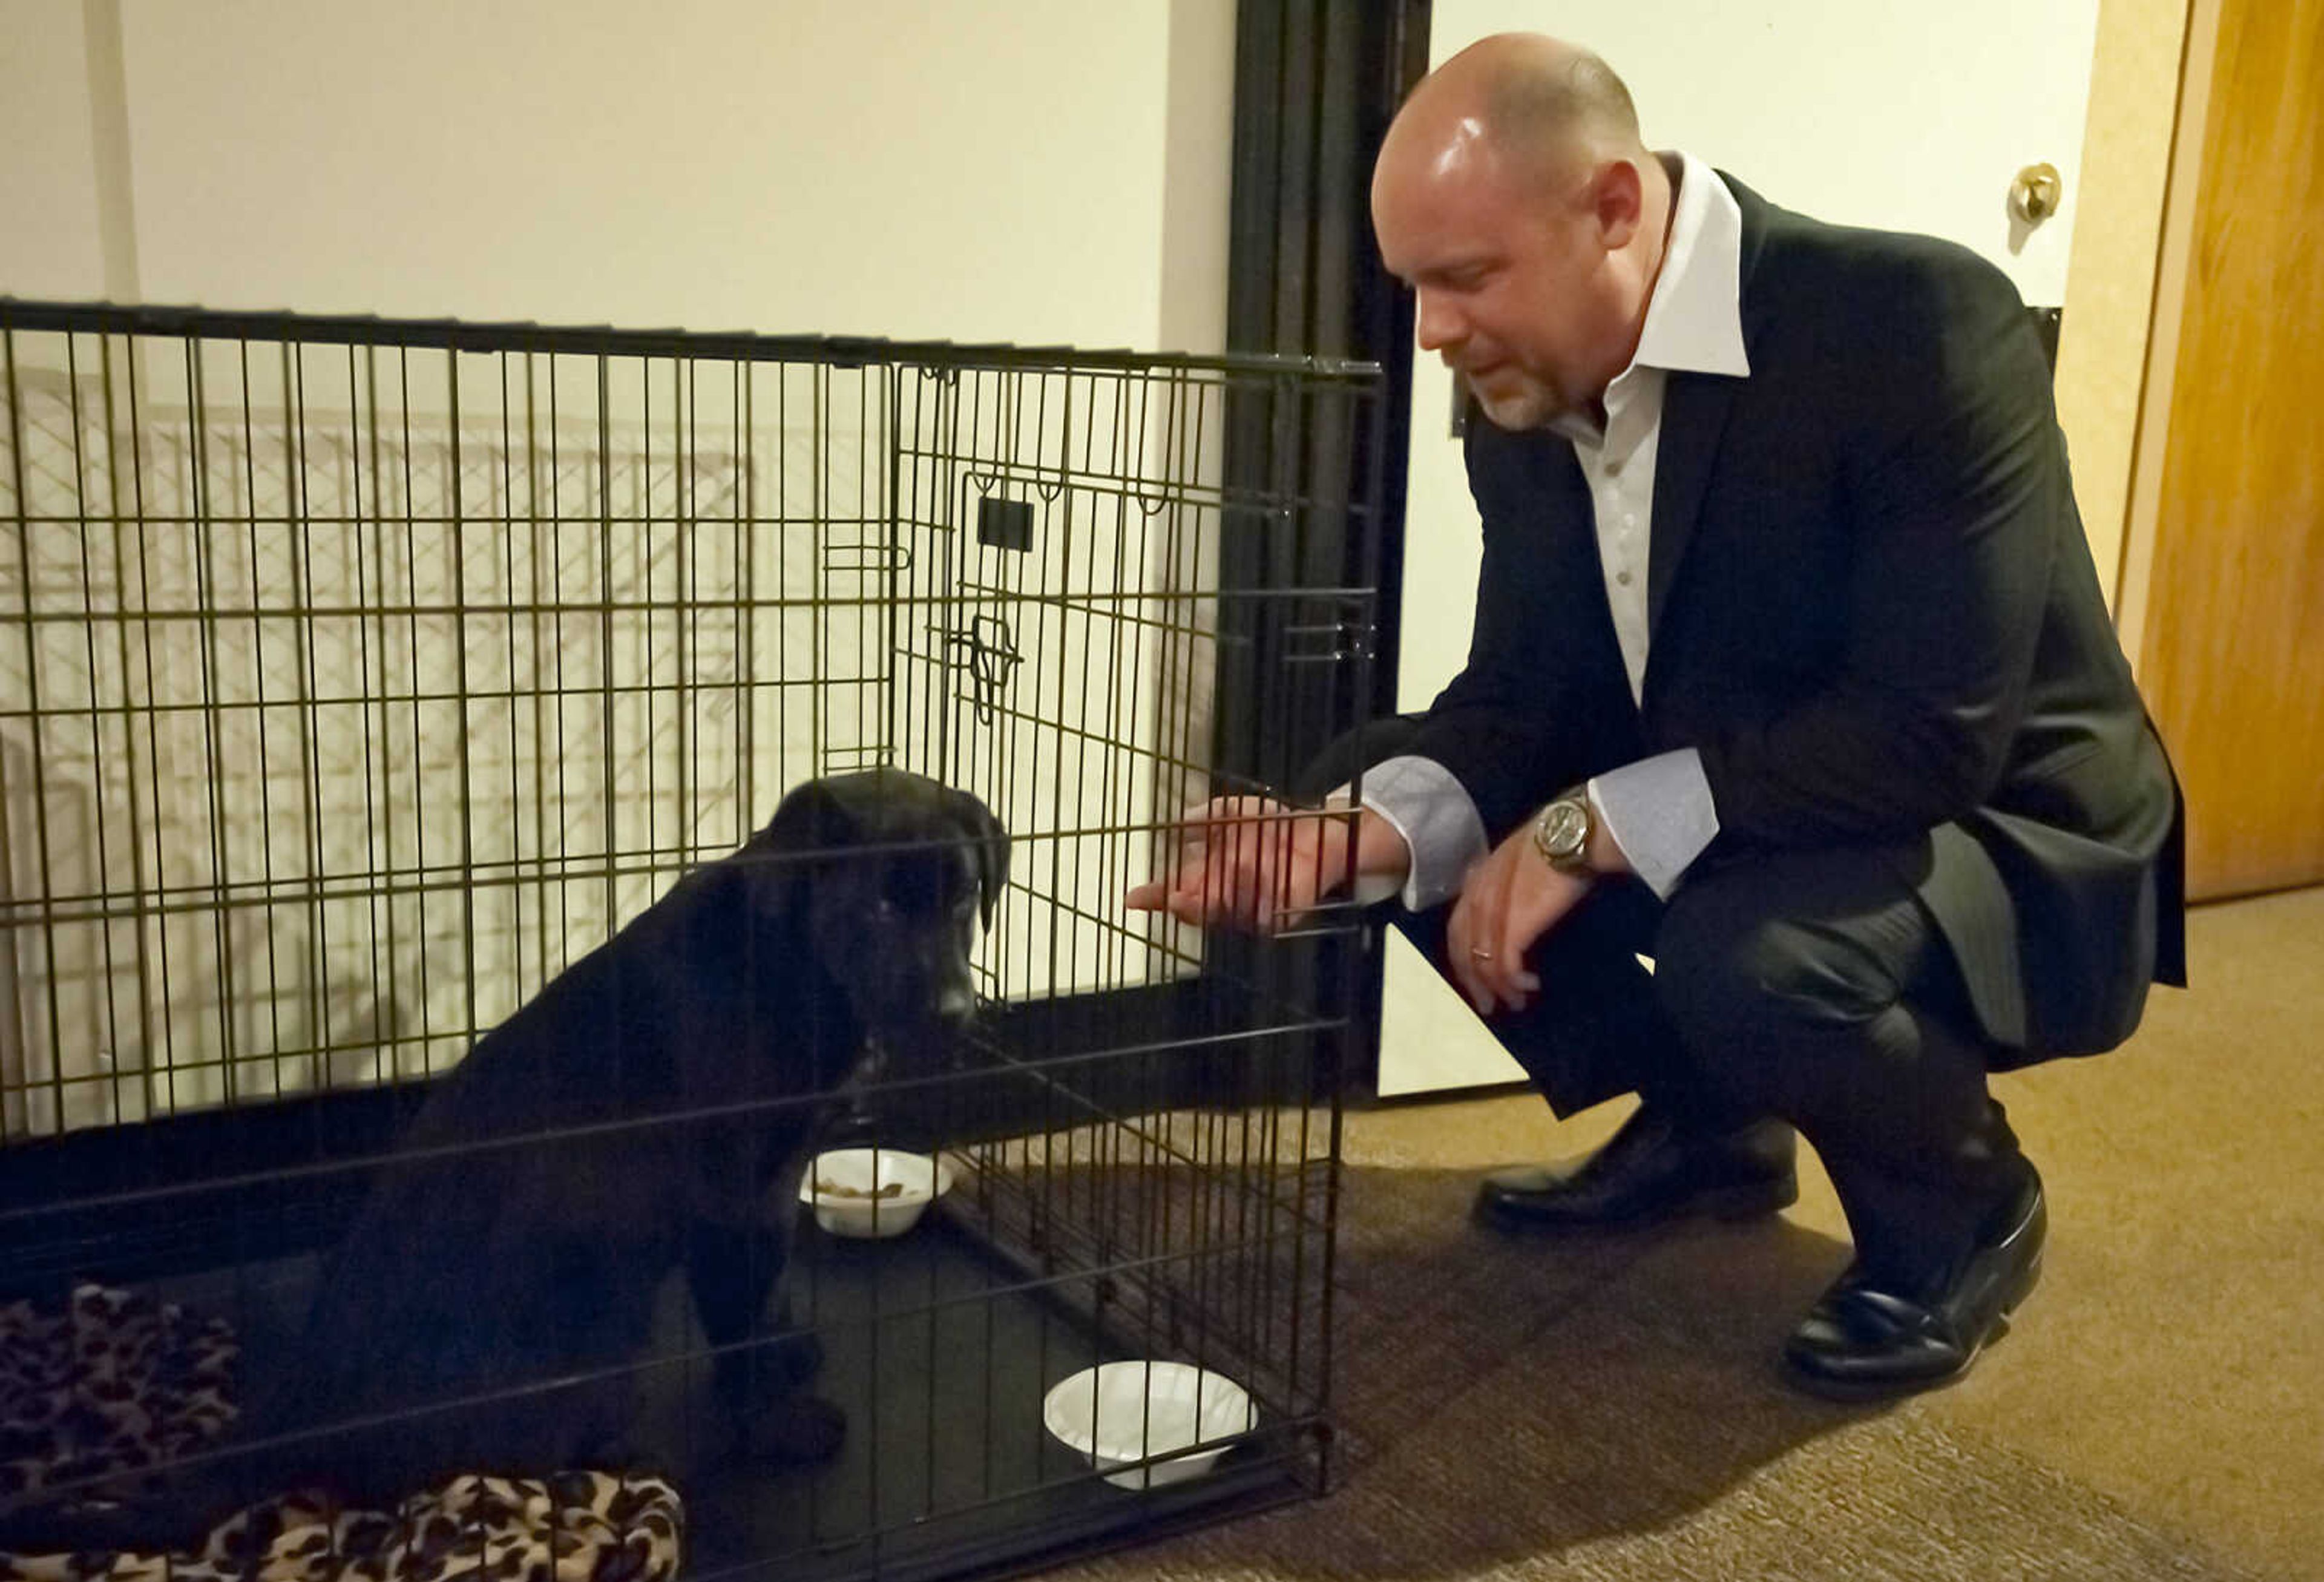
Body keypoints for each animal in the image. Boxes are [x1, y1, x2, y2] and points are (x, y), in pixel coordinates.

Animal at [41, 771, 999, 1533]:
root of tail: (305, 1410)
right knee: (514, 1469)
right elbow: (734, 1321)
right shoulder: (731, 1202)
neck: (790, 963)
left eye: (962, 901)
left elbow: (763, 1297)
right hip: (600, 1343)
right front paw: (775, 1423)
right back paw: (639, 1462)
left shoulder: (772, 1184)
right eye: (881, 906)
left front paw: (784, 1351)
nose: (958, 1015)